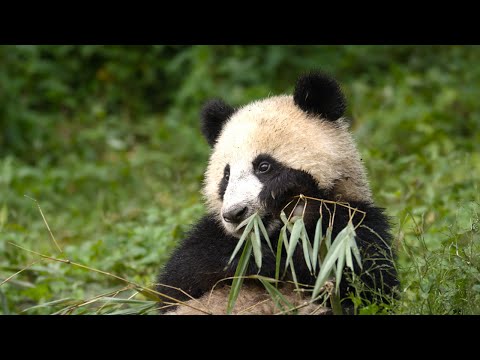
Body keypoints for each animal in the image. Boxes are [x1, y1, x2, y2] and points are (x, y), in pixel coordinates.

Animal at [156, 71, 400, 314]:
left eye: (264, 166)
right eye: (226, 176)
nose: (236, 213)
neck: (270, 235)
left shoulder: (354, 221)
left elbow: (362, 282)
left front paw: (292, 195)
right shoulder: (211, 234)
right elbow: (178, 279)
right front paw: (254, 259)